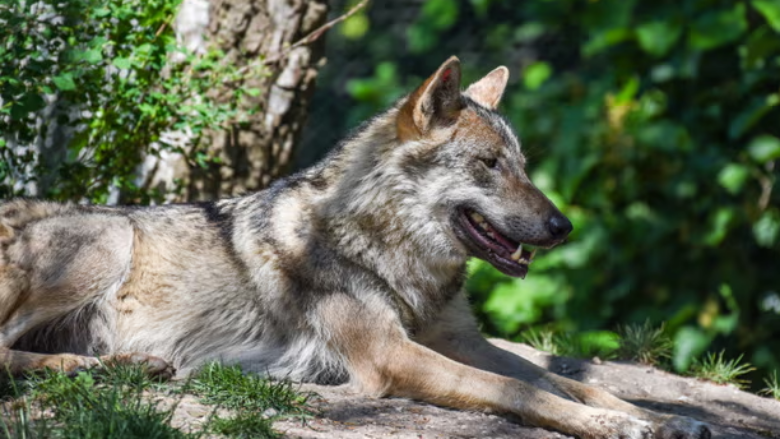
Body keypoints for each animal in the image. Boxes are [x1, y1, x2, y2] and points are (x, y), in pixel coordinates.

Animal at [0, 57, 708, 439]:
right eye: (489, 166)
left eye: (524, 167)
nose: (563, 227)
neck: (398, 260)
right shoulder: (394, 357)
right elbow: (520, 392)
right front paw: (619, 428)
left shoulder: (459, 341)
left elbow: (566, 382)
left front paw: (661, 418)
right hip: (108, 239)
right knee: (6, 353)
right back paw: (96, 367)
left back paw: (129, 365)